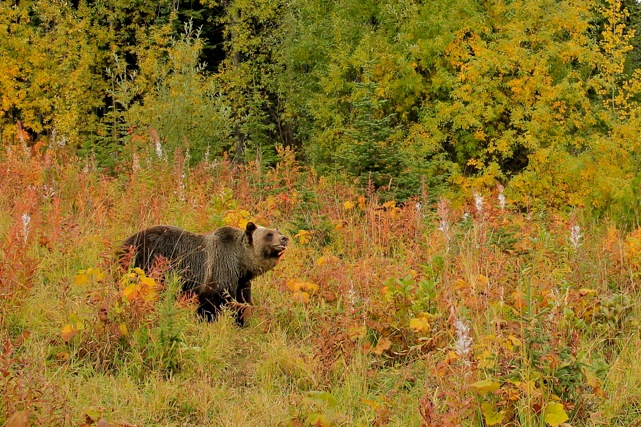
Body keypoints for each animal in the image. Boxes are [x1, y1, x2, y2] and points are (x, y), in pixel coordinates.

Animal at [120, 222, 288, 326]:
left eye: (277, 231)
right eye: (269, 234)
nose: (284, 238)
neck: (241, 263)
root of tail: (123, 244)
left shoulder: (242, 281)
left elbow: (241, 303)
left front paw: (240, 322)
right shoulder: (218, 271)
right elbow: (210, 305)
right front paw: (207, 321)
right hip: (146, 264)